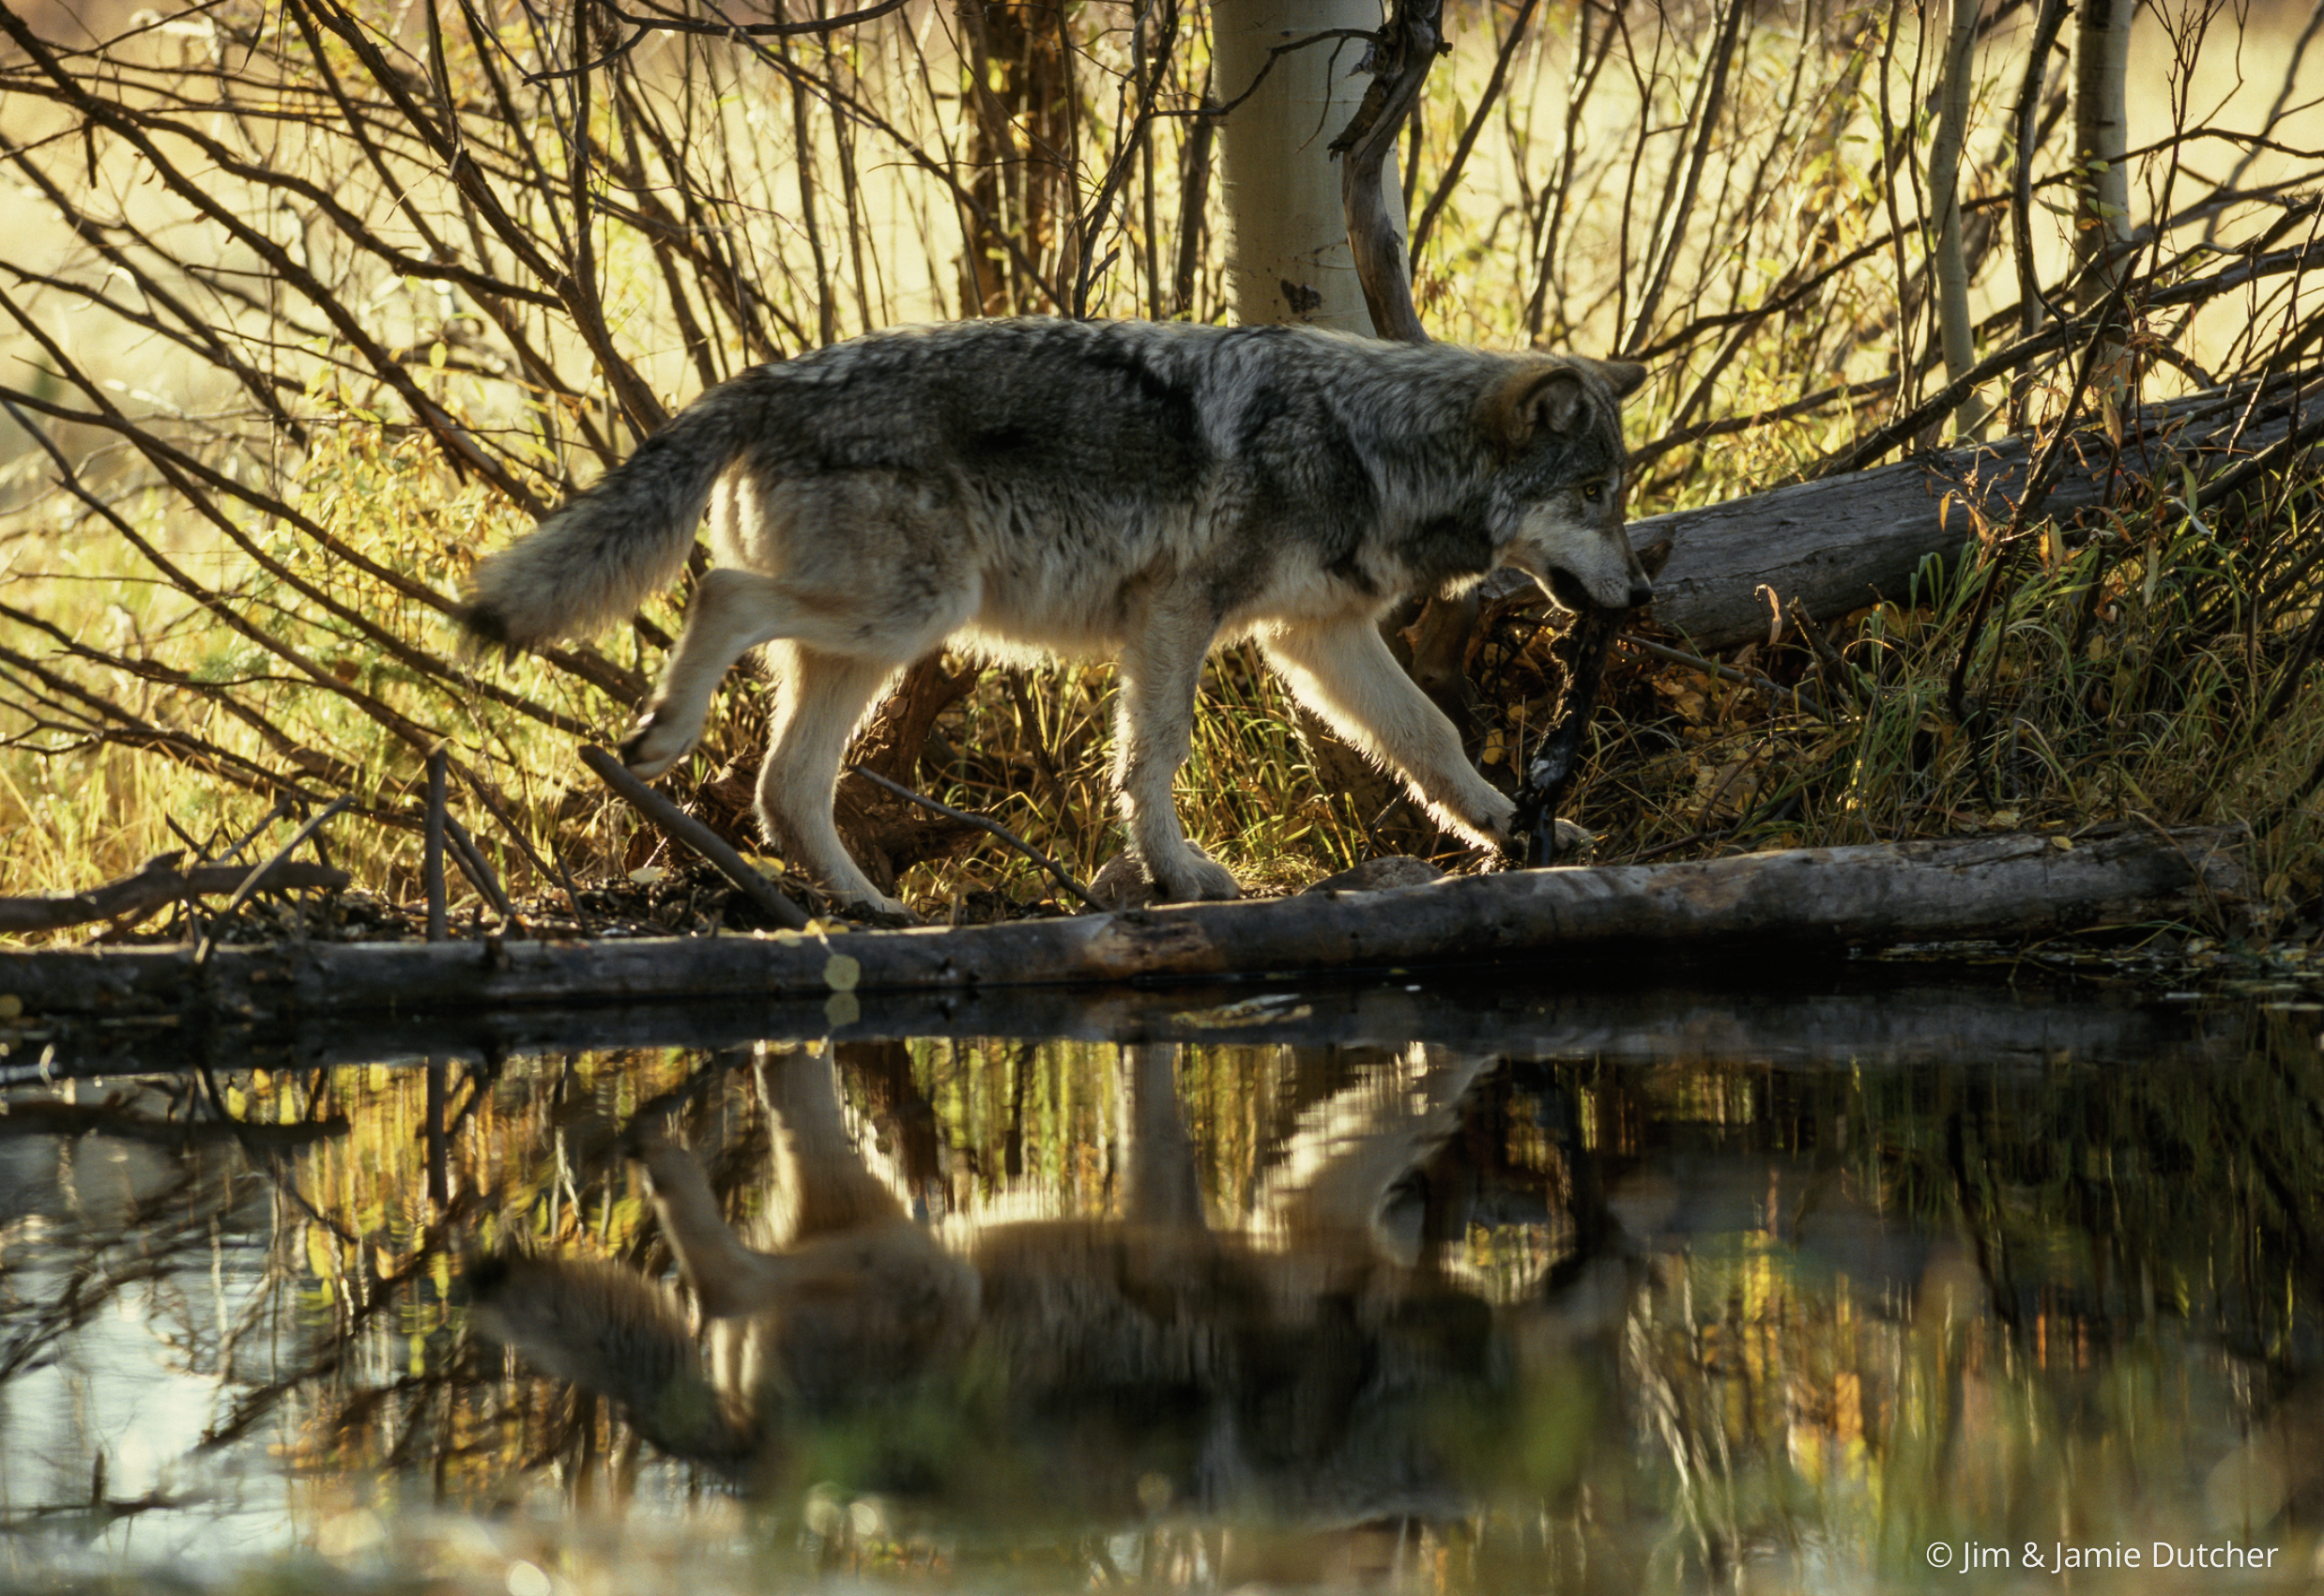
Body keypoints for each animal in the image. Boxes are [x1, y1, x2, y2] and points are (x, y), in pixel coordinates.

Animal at [460, 318, 1650, 915]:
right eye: (1594, 494)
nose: (1641, 595)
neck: (1371, 442)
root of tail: (764, 378)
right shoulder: (1177, 615)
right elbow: (1155, 753)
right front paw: (1179, 877)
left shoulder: (1315, 637)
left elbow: (1431, 737)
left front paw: (1519, 830)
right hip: (907, 614)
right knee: (718, 595)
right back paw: (661, 736)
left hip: (875, 646)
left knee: (783, 789)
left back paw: (870, 910)